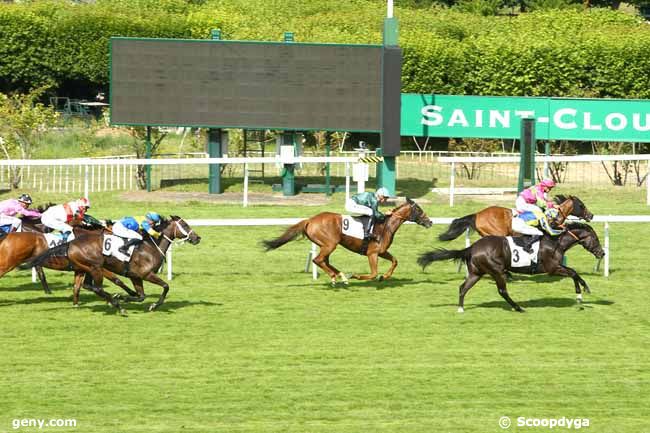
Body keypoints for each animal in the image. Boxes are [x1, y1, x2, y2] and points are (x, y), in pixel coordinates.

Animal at [29, 215, 200, 310]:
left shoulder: (135, 276)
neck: (150, 247)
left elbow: (141, 296)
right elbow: (165, 286)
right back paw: (116, 304)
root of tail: (71, 243)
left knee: (86, 286)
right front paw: (151, 305)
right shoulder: (145, 274)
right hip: (95, 267)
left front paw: (125, 297)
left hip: (87, 268)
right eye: (185, 225)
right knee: (96, 287)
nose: (197, 238)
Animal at [260, 197, 432, 286]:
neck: (385, 226)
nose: (430, 222)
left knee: (325, 261)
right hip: (330, 244)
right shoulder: (372, 253)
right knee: (318, 260)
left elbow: (395, 261)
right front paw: (356, 276)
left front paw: (384, 277)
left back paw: (340, 275)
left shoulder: (381, 251)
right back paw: (336, 277)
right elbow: (373, 273)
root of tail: (309, 220)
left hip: (326, 245)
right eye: (419, 210)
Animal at [418, 224, 604, 312]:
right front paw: (582, 292)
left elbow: (573, 272)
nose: (602, 253)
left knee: (463, 288)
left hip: (476, 273)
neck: (555, 242)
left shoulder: (556, 266)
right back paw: (518, 308)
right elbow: (573, 272)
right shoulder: (552, 268)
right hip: (497, 271)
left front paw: (581, 293)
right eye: (595, 238)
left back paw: (461, 308)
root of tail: (472, 247)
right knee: (502, 291)